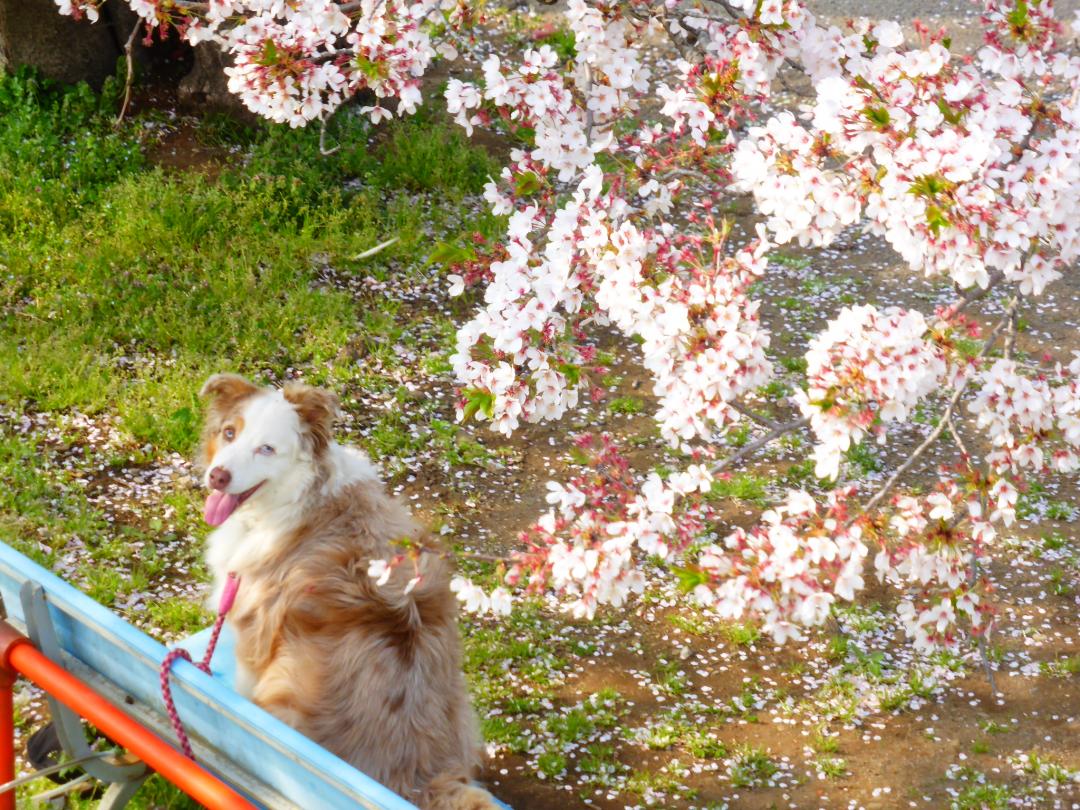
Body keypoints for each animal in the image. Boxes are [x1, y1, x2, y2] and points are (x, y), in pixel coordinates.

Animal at [197, 375, 496, 810]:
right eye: (229, 433)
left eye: (267, 448)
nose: (217, 476)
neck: (303, 499)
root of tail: (419, 781)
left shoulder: (255, 632)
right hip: (462, 708)